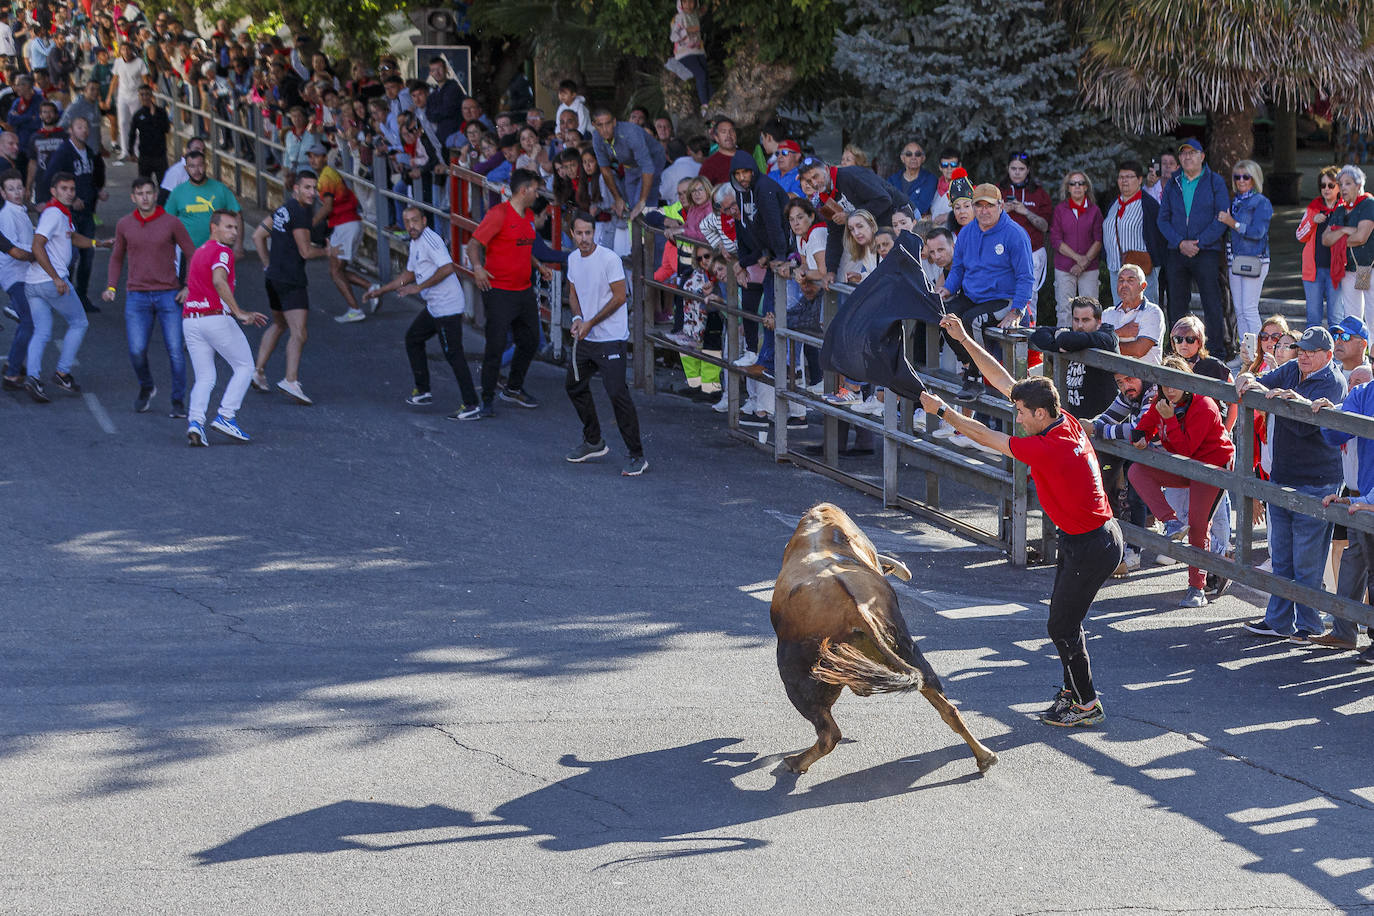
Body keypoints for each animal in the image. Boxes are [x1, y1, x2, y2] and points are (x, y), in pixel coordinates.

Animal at [769, 502, 994, 774]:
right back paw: (985, 757)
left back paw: (795, 762)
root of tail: (857, 613)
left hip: (798, 676)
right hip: (908, 649)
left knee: (828, 734)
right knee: (946, 705)